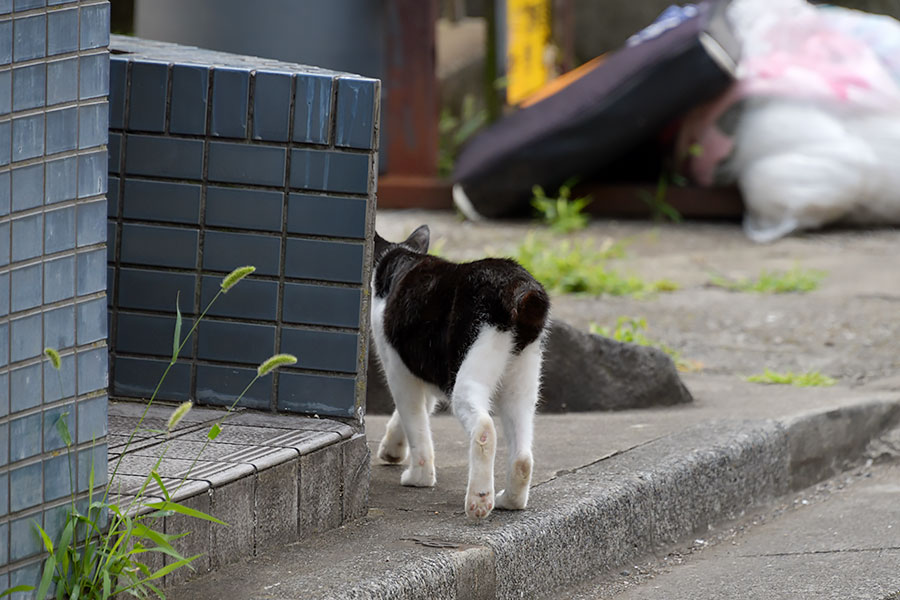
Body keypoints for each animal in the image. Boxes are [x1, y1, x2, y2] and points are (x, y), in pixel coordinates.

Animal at [370, 225, 552, 520]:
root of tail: (519, 286)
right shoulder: (425, 367)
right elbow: (418, 411)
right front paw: (392, 449)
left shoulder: (398, 368)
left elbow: (414, 421)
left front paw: (419, 477)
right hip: (522, 378)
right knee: (523, 454)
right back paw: (510, 500)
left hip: (473, 368)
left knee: (484, 428)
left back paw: (479, 499)